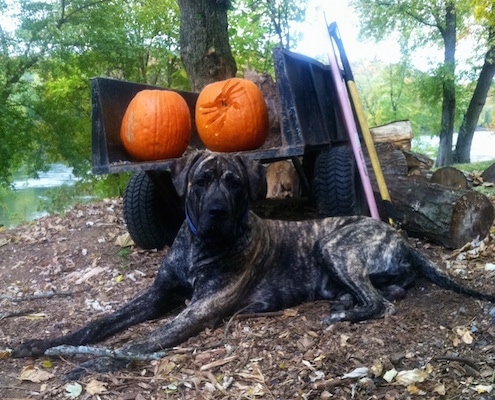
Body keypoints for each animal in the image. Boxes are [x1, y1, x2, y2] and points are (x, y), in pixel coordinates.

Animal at [11, 150, 495, 378]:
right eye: (202, 181)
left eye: (235, 184)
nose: (217, 211)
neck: (199, 246)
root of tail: (401, 237)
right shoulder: (159, 294)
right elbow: (102, 323)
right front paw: (43, 344)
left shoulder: (197, 309)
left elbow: (139, 341)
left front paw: (86, 366)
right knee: (387, 293)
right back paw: (343, 304)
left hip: (335, 244)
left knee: (381, 303)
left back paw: (342, 313)